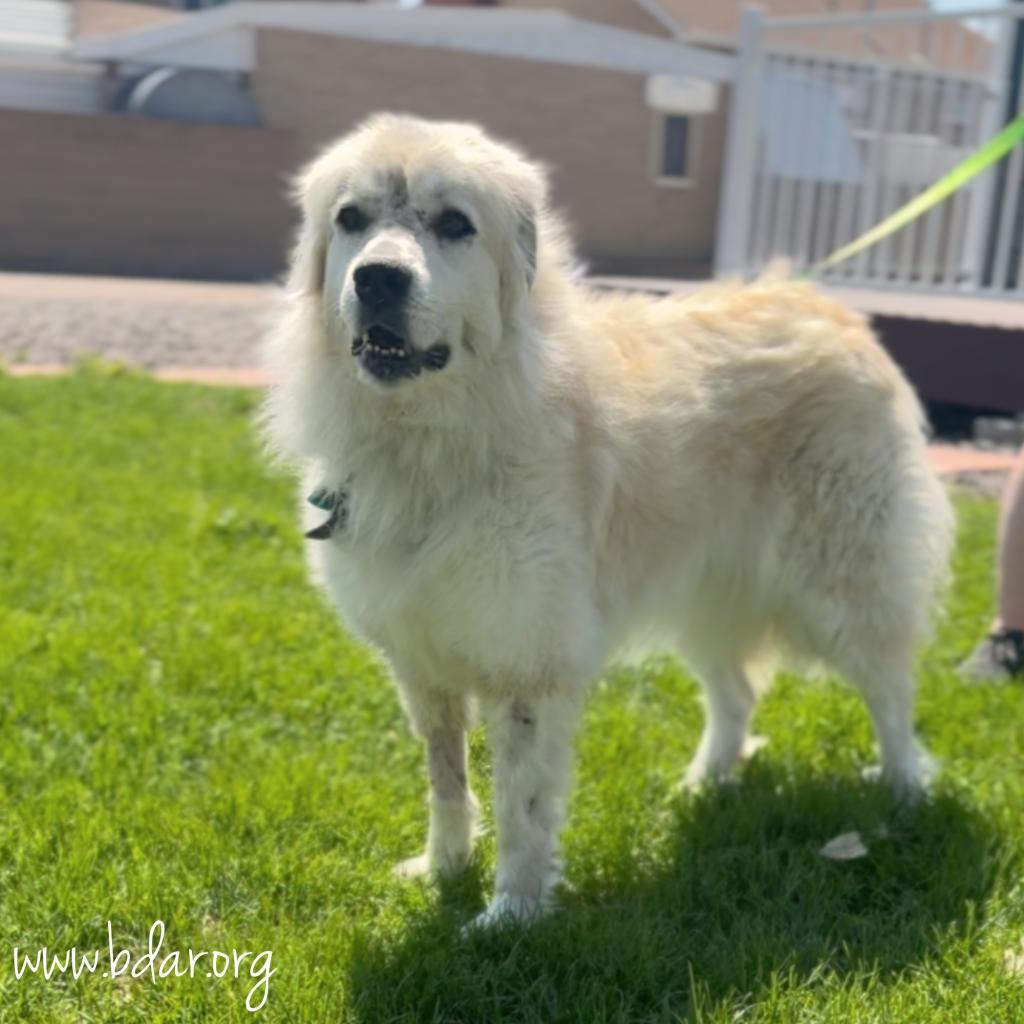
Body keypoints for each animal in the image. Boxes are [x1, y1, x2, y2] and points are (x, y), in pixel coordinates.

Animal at [262, 112, 950, 929]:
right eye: (352, 219)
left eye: (454, 224)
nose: (377, 278)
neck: (436, 437)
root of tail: (831, 310)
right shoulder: (421, 666)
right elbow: (447, 781)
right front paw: (442, 870)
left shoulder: (527, 667)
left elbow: (522, 804)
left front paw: (509, 917)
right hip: (707, 595)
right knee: (738, 693)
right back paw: (701, 785)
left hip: (841, 585)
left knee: (889, 688)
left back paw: (905, 794)